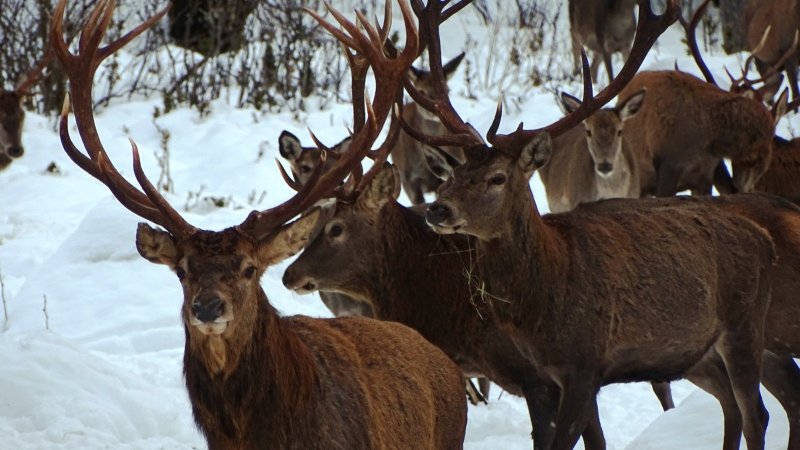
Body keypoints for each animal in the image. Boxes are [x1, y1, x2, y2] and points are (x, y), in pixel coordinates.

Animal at [412, 1, 780, 448]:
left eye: (497, 178)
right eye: (455, 172)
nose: (437, 210)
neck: (545, 298)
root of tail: (763, 239)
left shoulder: (584, 365)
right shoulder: (548, 376)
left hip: (744, 324)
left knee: (756, 413)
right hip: (697, 350)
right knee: (731, 405)